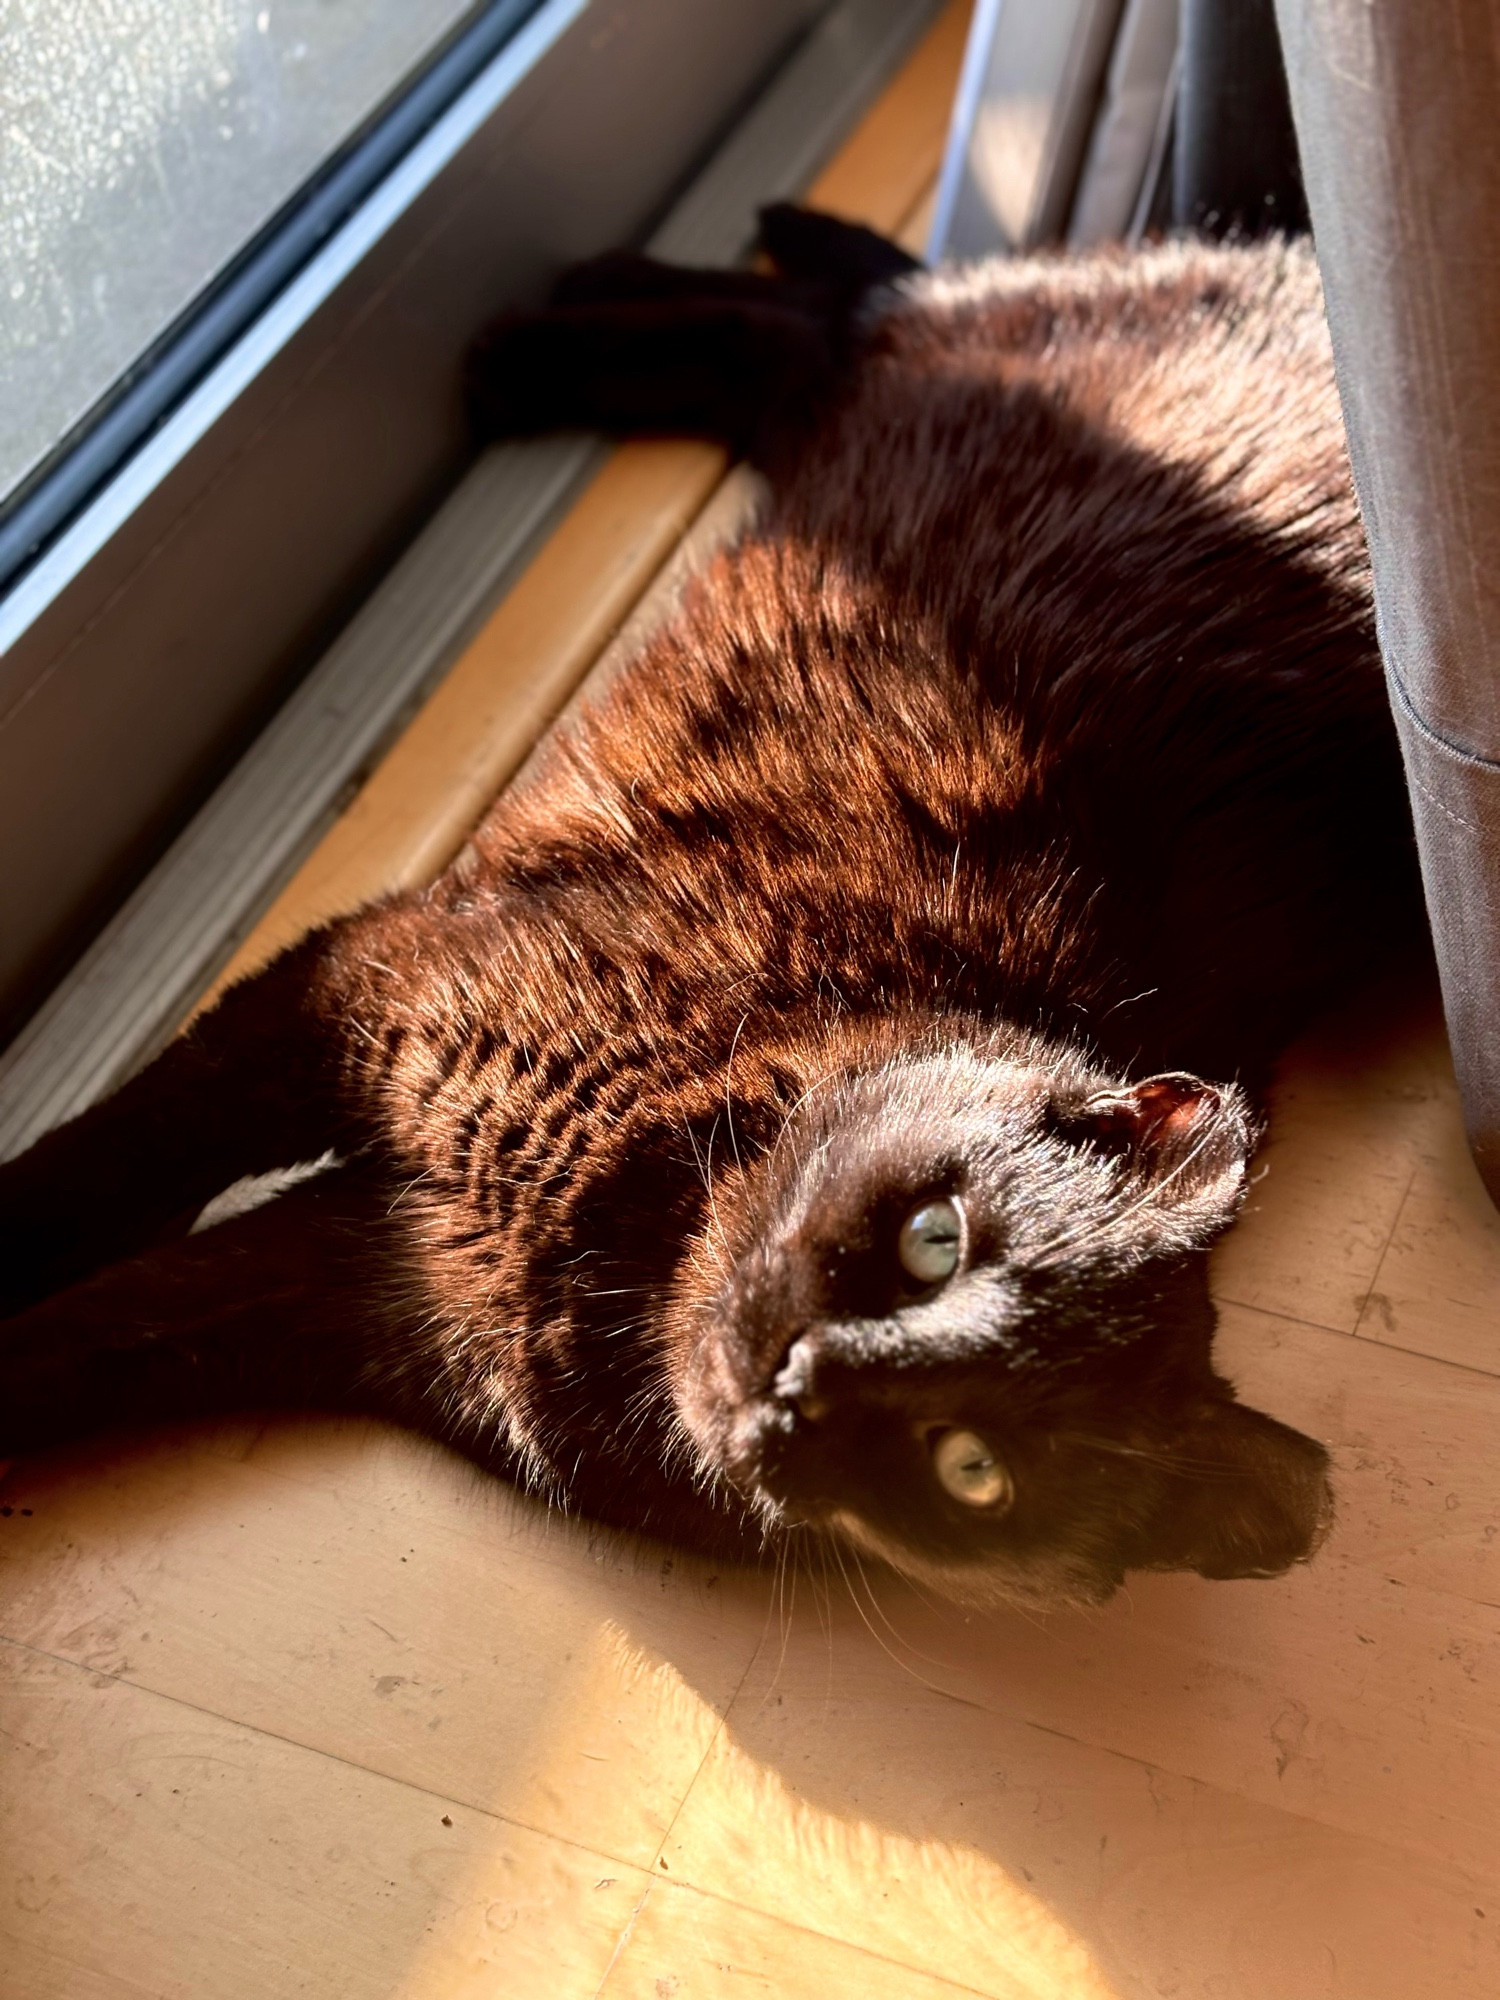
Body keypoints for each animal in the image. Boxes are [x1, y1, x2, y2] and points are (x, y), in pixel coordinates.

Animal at [0, 207, 1424, 1608]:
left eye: (974, 1469)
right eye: (937, 1237)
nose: (806, 1385)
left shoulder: (353, 1276)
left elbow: (84, 1338)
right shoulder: (356, 988)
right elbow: (98, 1166)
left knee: (823, 333)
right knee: (853, 312)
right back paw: (552, 325)